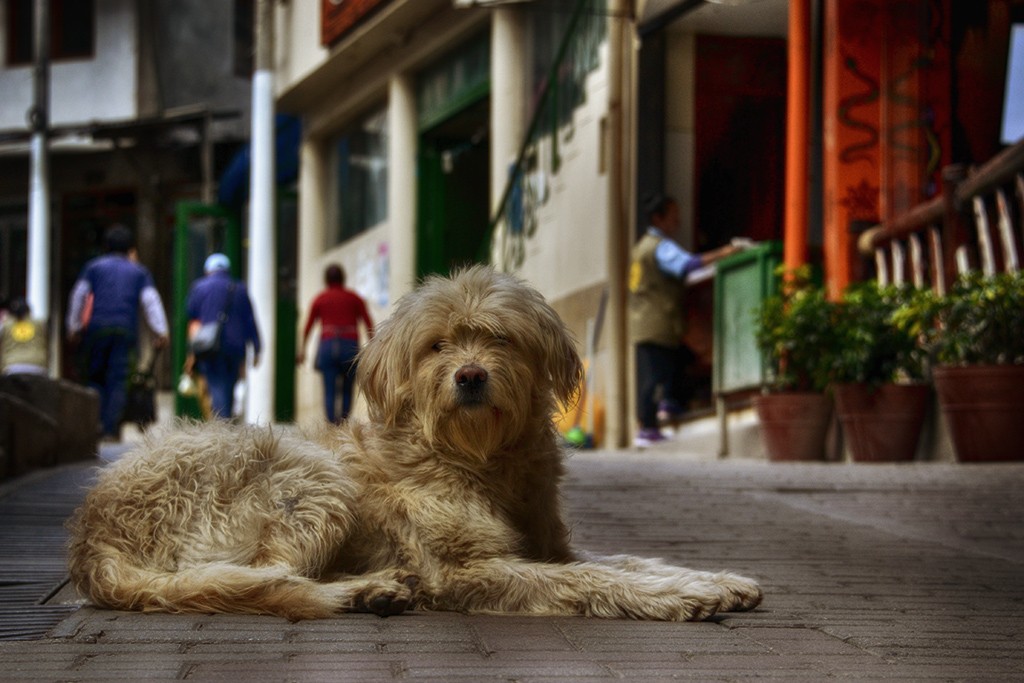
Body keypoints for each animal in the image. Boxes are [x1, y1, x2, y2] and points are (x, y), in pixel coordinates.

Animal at [68, 270, 761, 622]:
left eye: (500, 338)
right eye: (436, 346)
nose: (470, 375)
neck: (480, 459)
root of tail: (93, 531)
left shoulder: (547, 546)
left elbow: (626, 560)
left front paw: (711, 578)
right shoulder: (466, 570)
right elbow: (591, 578)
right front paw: (682, 597)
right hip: (304, 474)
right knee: (264, 580)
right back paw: (360, 590)